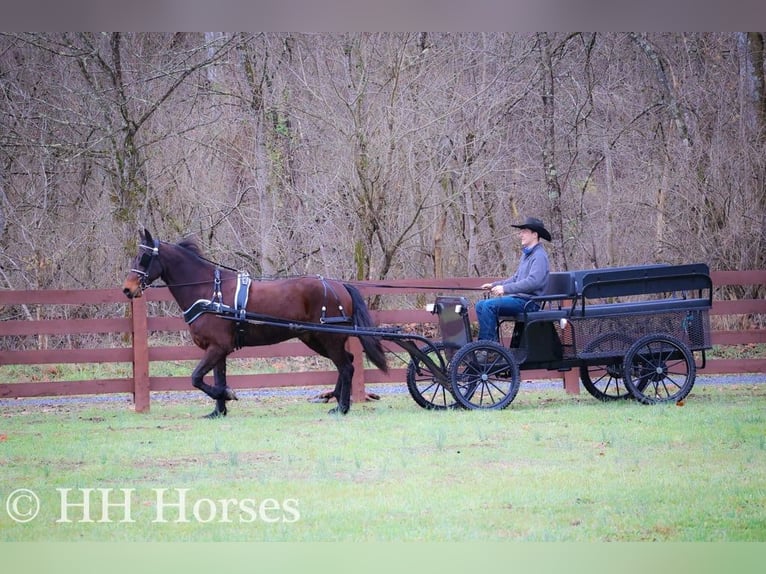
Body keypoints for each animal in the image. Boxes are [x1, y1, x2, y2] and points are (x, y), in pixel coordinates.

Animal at [122, 229, 388, 417]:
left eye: (144, 257)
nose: (127, 289)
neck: (210, 293)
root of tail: (339, 285)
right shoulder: (219, 349)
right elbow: (217, 377)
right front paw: (218, 411)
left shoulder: (217, 347)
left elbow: (196, 378)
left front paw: (229, 395)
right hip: (314, 338)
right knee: (347, 363)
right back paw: (335, 399)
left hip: (328, 338)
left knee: (347, 367)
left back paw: (341, 407)